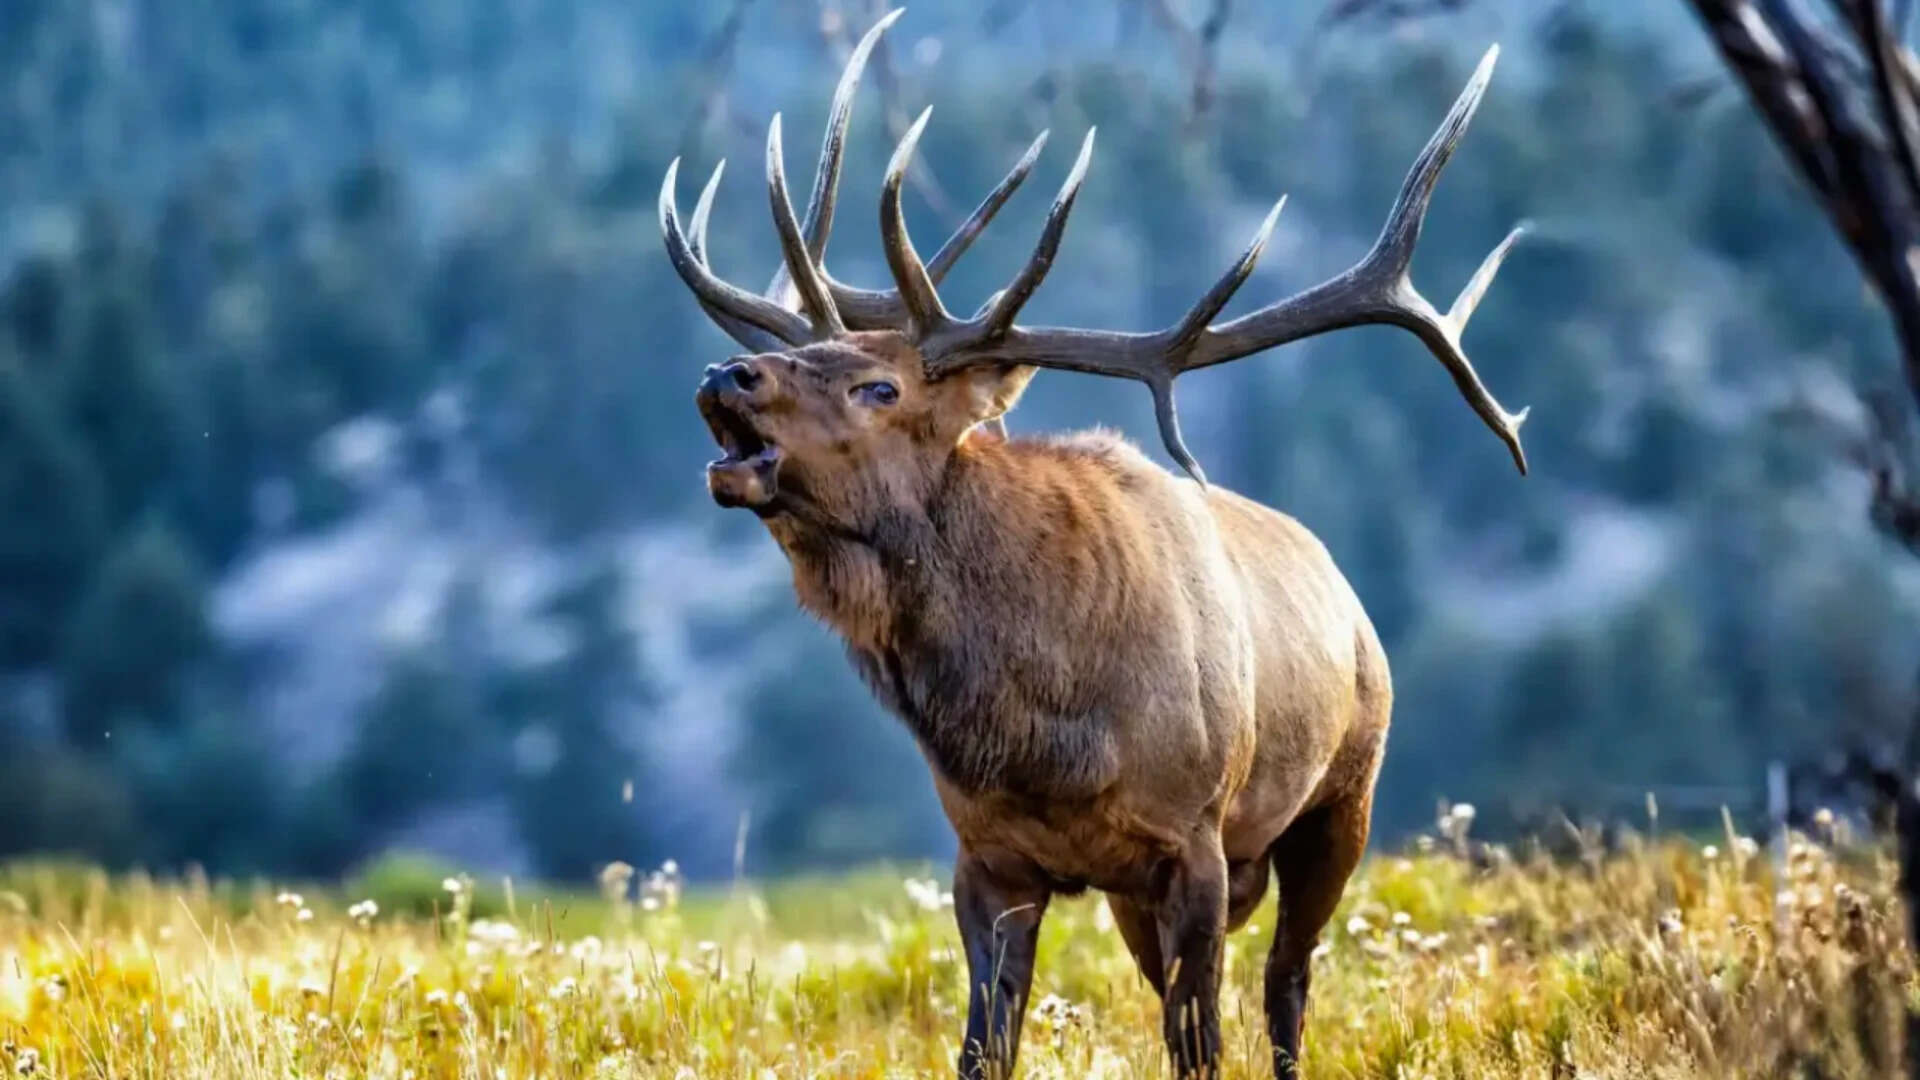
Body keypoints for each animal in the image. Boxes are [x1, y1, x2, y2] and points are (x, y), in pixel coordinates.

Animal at [657, 11, 1529, 1077]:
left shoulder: (1194, 839)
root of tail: (1350, 599)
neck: (1043, 732)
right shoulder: (989, 858)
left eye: (879, 386)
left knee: (1288, 983)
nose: (726, 374)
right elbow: (986, 1047)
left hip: (1341, 799)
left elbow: (1200, 1044)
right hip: (1131, 894)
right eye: (806, 354)